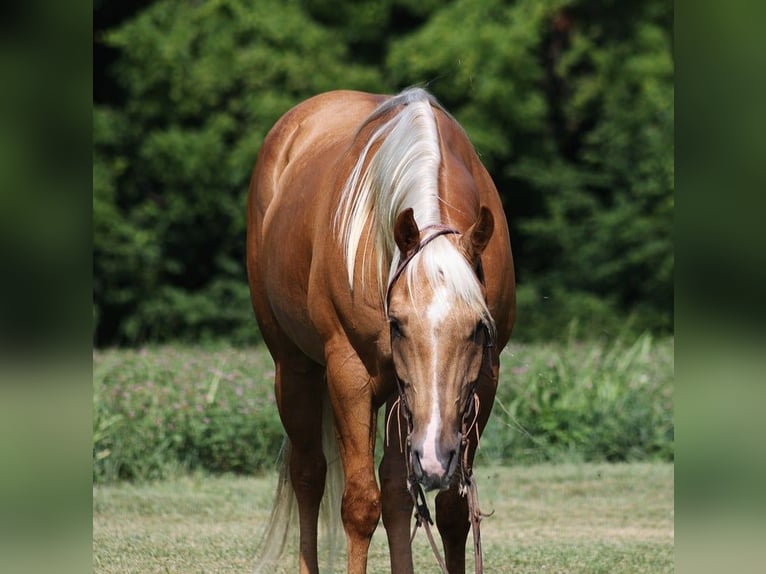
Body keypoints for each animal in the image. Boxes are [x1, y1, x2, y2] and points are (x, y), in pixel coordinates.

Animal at [246, 87, 515, 574]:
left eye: (476, 329)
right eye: (397, 324)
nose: (433, 456)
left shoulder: (482, 383)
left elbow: (450, 510)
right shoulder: (349, 376)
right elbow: (358, 505)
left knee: (396, 492)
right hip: (294, 371)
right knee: (309, 475)